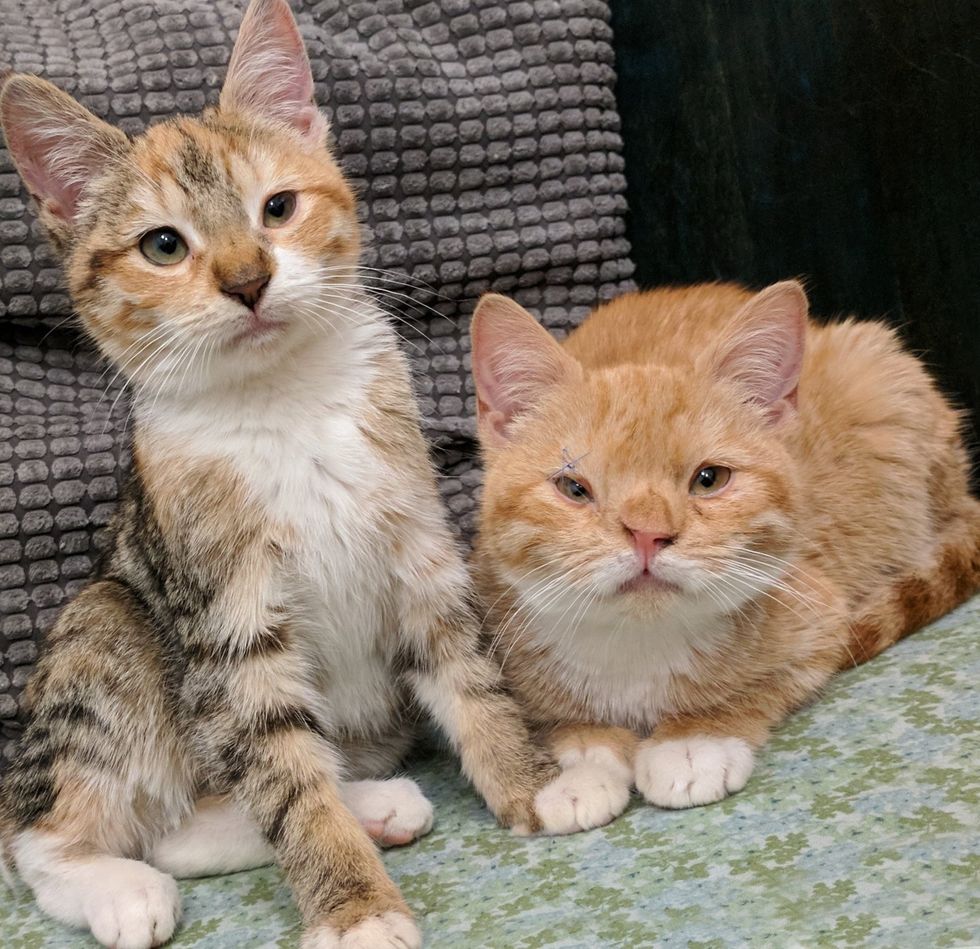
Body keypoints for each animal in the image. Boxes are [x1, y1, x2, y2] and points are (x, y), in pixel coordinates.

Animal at [0, 1, 560, 948]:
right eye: (162, 245)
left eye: (279, 207)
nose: (247, 277)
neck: (285, 401)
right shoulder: (227, 610)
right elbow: (282, 774)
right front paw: (355, 903)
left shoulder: (415, 539)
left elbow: (464, 667)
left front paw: (535, 778)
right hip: (109, 623)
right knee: (56, 832)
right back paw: (117, 886)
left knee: (195, 821)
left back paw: (373, 803)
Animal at [468, 280, 980, 828]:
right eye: (573, 488)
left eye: (709, 479)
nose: (648, 534)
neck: (639, 648)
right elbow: (561, 722)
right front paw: (582, 766)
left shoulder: (821, 621)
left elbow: (757, 689)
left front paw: (692, 742)